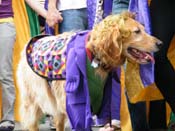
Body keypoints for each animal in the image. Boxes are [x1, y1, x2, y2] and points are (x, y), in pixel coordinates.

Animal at [16, 12, 163, 131]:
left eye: (143, 29)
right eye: (137, 31)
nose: (160, 43)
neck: (94, 53)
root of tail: (35, 39)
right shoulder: (76, 104)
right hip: (32, 102)